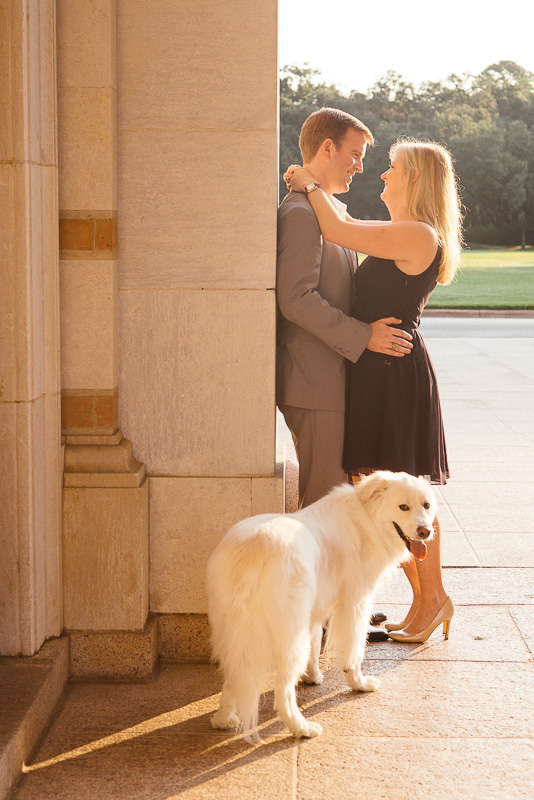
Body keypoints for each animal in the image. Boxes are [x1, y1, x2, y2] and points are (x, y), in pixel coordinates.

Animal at [207, 468, 438, 744]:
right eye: (403, 507)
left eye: (426, 505)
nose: (425, 531)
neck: (367, 518)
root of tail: (254, 548)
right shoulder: (355, 604)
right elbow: (354, 651)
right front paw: (358, 683)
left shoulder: (317, 608)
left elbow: (316, 641)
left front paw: (313, 676)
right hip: (287, 633)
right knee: (283, 690)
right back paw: (301, 728)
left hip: (231, 630)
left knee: (234, 673)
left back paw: (223, 719)